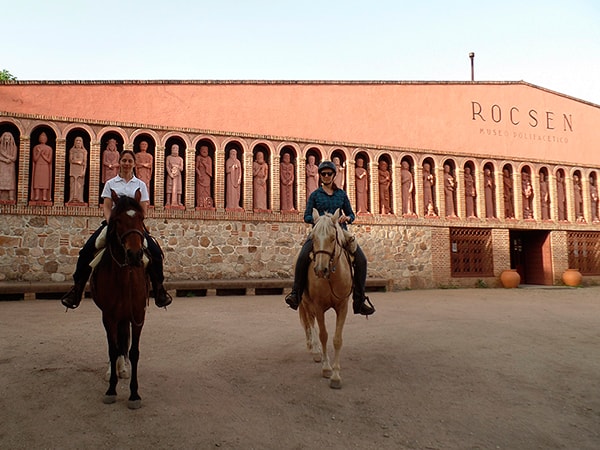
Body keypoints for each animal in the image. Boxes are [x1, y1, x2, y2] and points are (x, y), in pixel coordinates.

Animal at [92, 189, 151, 408]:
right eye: (117, 220)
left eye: (142, 218)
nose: (134, 254)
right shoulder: (108, 316)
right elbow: (112, 348)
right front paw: (111, 389)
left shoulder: (139, 315)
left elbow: (134, 351)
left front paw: (134, 394)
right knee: (115, 343)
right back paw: (114, 369)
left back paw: (123, 368)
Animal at [298, 207, 354, 386]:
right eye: (313, 238)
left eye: (332, 238)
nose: (320, 269)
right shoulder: (318, 306)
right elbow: (323, 335)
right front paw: (326, 368)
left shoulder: (343, 306)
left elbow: (337, 339)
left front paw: (336, 375)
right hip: (305, 302)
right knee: (309, 323)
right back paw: (315, 350)